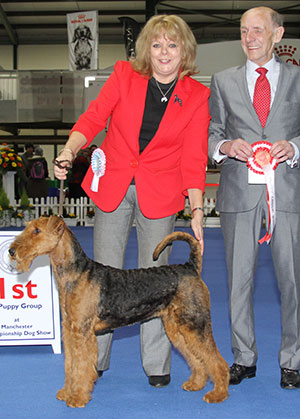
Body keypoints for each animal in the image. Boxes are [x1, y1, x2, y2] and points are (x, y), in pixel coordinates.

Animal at [9, 218, 230, 408]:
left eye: (37, 230)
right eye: (28, 227)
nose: (11, 251)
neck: (75, 273)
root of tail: (190, 267)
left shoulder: (82, 332)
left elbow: (80, 366)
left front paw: (77, 398)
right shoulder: (70, 330)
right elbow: (70, 364)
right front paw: (66, 392)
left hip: (195, 324)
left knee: (216, 360)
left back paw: (218, 394)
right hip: (178, 328)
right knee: (197, 358)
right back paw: (196, 384)